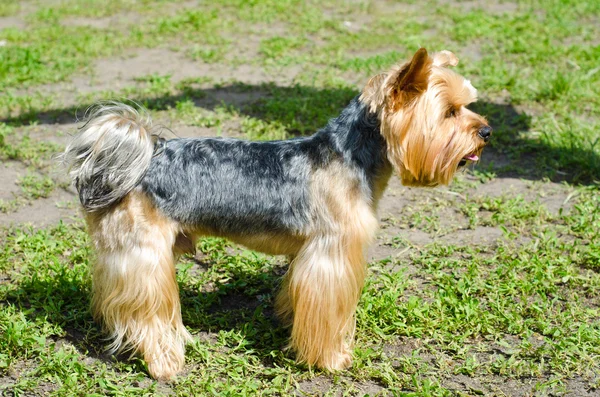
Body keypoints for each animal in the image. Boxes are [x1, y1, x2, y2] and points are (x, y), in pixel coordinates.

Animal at [62, 48, 492, 378]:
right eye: (450, 113)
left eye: (467, 107)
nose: (486, 131)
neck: (350, 154)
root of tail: (142, 158)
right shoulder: (332, 253)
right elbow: (329, 313)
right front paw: (332, 359)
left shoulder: (307, 252)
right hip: (146, 251)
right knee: (148, 311)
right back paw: (164, 363)